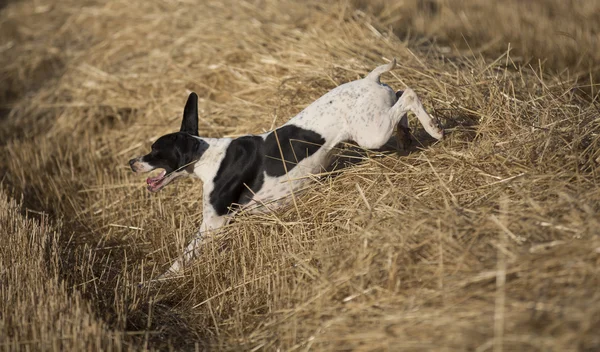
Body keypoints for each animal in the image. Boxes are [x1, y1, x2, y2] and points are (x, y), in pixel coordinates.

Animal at [129, 58, 442, 280]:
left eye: (155, 151)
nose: (131, 162)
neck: (206, 156)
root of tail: (370, 79)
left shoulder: (212, 224)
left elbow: (183, 258)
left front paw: (156, 282)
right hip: (377, 123)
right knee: (399, 96)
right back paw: (406, 136)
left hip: (371, 134)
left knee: (408, 95)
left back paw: (433, 128)